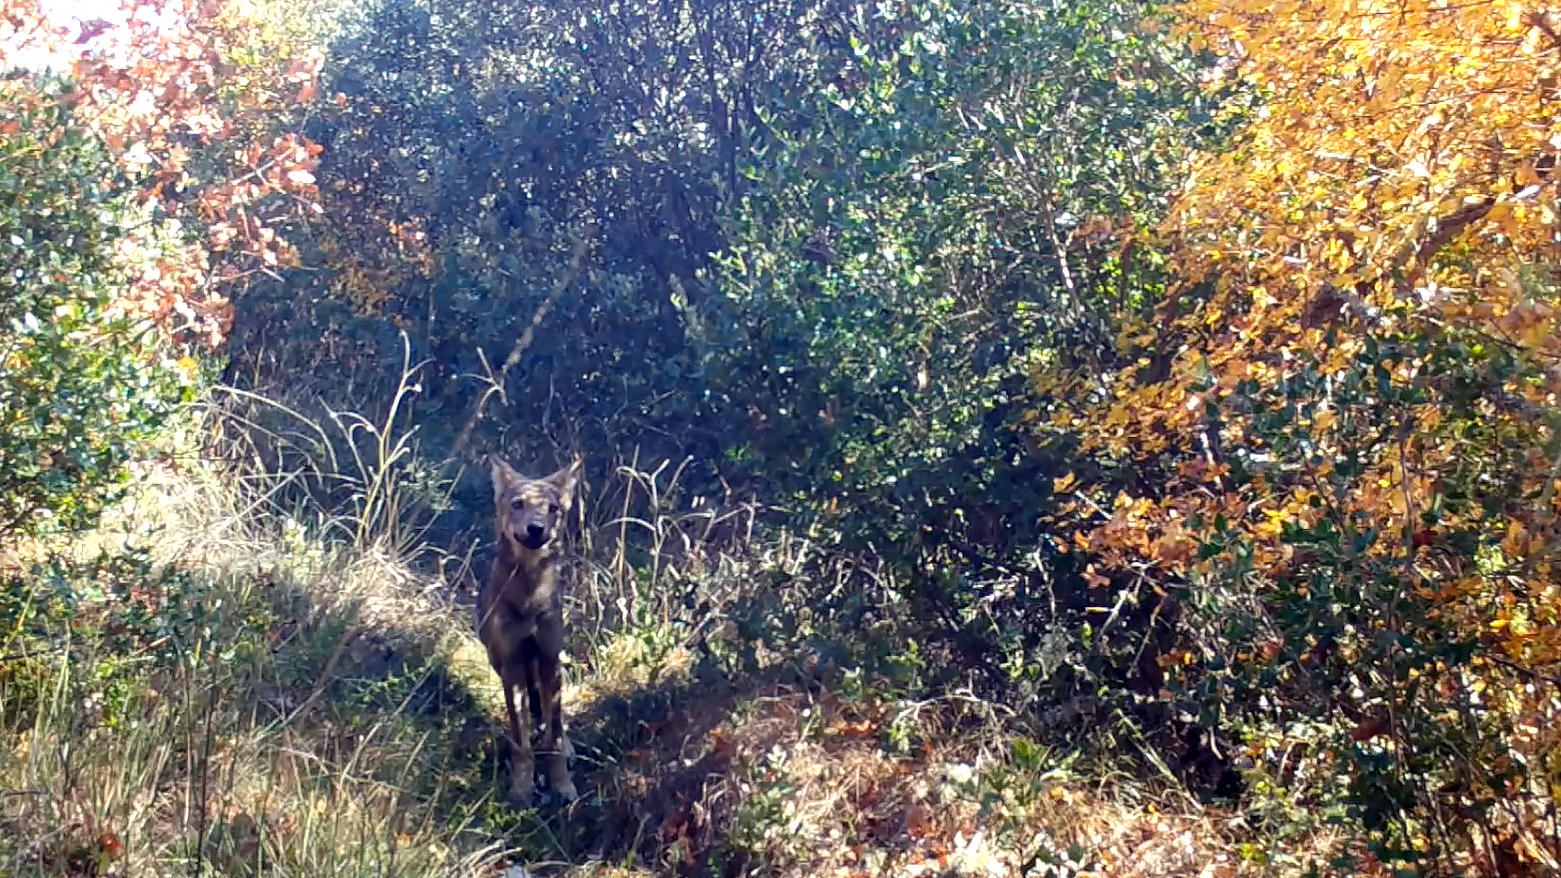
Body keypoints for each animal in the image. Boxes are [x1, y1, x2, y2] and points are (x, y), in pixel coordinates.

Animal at [471, 453, 583, 806]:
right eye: (518, 504)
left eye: (552, 509)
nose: (536, 529)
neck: (529, 596)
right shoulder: (512, 665)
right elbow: (521, 743)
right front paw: (522, 790)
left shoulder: (548, 657)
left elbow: (555, 735)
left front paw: (563, 786)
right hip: (501, 664)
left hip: (552, 667)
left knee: (551, 716)